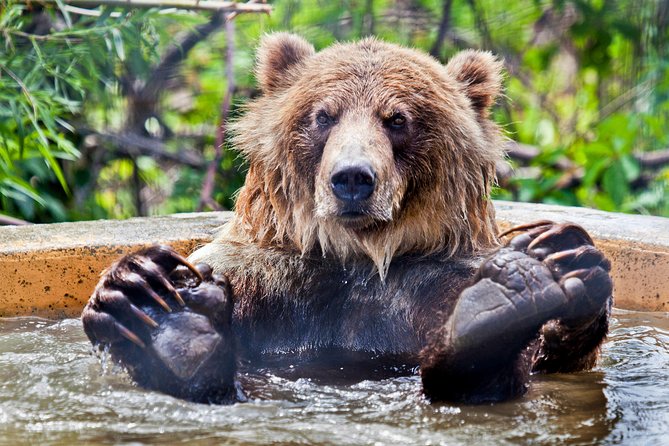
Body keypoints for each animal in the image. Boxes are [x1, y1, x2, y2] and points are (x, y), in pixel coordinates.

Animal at [81, 33, 613, 405]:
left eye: (397, 119)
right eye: (324, 115)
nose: (353, 178)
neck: (359, 255)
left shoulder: (429, 280)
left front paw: (560, 251)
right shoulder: (268, 275)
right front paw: (141, 284)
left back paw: (498, 313)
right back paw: (171, 330)